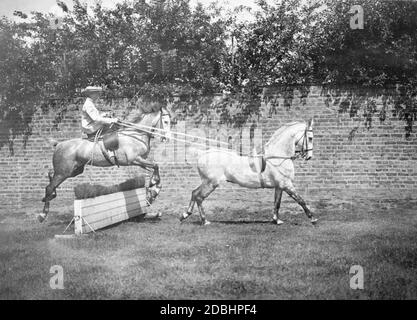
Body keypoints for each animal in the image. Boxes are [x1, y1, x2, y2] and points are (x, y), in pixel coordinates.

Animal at [38, 107, 170, 222]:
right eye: (166, 121)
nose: (167, 138)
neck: (135, 135)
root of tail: (59, 144)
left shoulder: (141, 162)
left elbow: (155, 168)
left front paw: (153, 192)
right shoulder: (134, 160)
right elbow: (156, 166)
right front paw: (153, 185)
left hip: (73, 171)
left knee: (51, 175)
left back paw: (50, 196)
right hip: (64, 172)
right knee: (49, 186)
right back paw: (42, 214)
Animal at [178, 119, 316, 225]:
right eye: (310, 138)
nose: (309, 156)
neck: (277, 157)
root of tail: (203, 154)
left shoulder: (279, 186)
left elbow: (277, 203)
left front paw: (276, 220)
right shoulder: (286, 185)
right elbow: (301, 200)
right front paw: (313, 218)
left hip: (207, 182)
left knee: (194, 193)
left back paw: (185, 215)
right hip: (211, 183)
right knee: (199, 197)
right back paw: (204, 221)